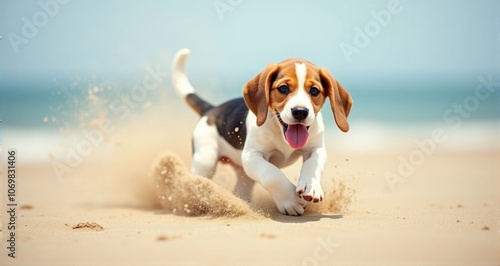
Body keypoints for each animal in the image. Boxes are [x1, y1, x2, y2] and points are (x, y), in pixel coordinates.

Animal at [172, 48, 352, 215]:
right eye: (283, 88)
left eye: (314, 91)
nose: (300, 111)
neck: (280, 131)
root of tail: (211, 109)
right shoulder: (252, 156)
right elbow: (272, 174)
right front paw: (289, 200)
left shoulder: (316, 149)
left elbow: (312, 164)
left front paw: (311, 186)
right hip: (205, 160)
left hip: (243, 175)